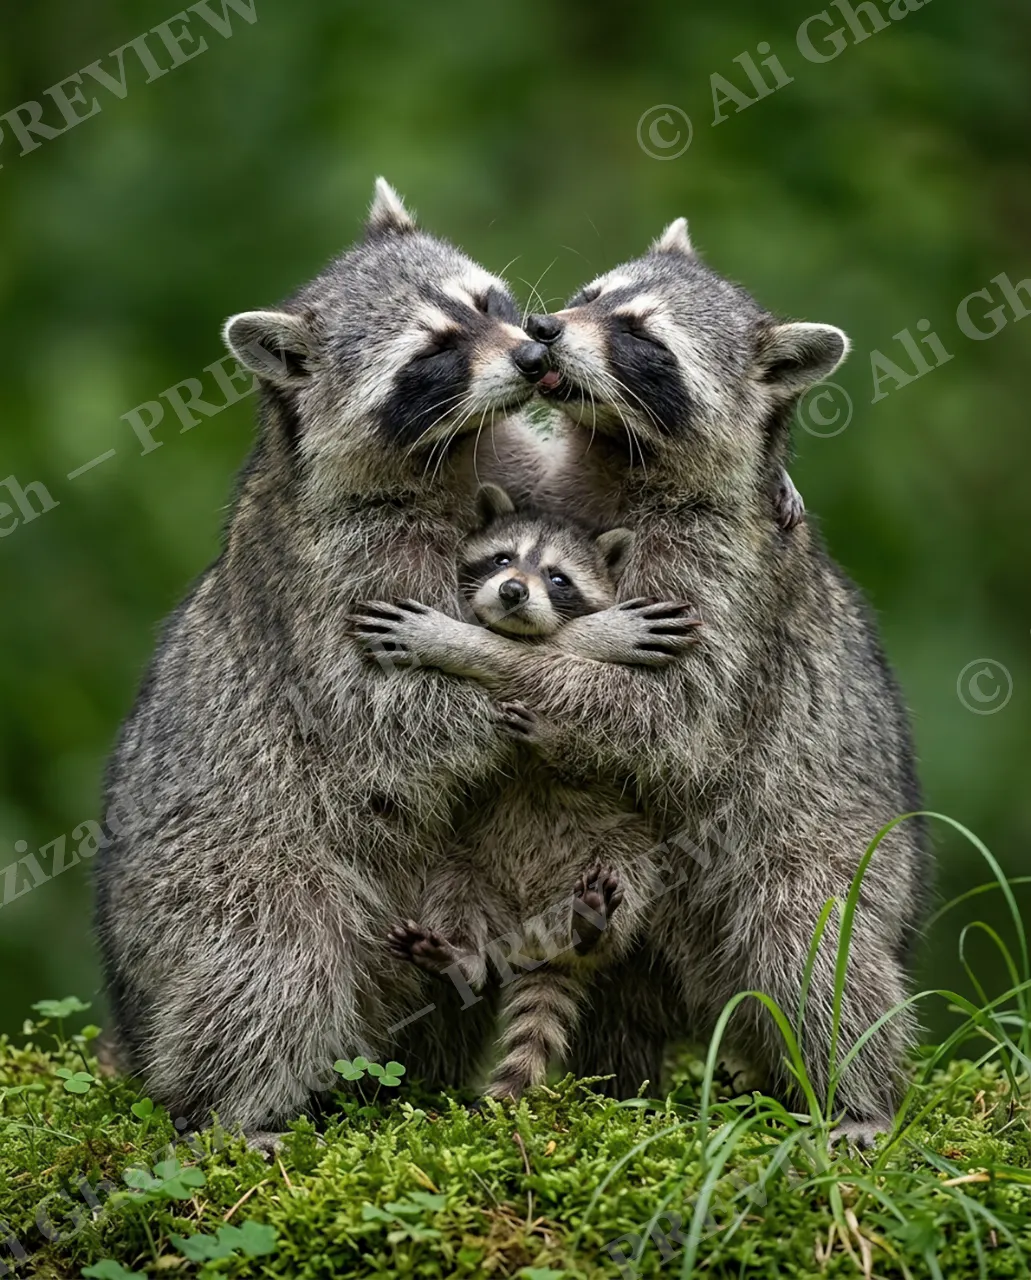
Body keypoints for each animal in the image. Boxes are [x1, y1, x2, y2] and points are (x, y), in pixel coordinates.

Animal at [93, 180, 556, 1141]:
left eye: (487, 303)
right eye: (432, 352)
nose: (536, 354)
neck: (452, 451)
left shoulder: (514, 465)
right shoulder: (342, 575)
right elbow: (388, 711)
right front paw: (499, 699)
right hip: (213, 884)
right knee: (275, 954)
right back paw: (230, 1109)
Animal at [358, 485, 699, 1100]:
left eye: (559, 578)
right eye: (502, 559)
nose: (514, 590)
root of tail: (532, 940)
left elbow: (601, 756)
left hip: (623, 850)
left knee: (628, 875)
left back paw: (591, 928)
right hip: (468, 866)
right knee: (454, 890)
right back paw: (461, 957)